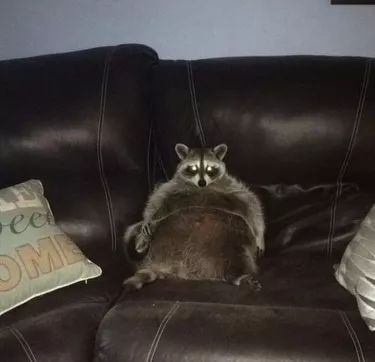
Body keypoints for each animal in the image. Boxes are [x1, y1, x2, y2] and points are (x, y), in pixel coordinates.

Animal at [122, 144, 264, 292]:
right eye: (193, 168)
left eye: (210, 169)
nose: (202, 182)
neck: (201, 187)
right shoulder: (172, 188)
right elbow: (157, 199)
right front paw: (146, 222)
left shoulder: (229, 188)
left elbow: (251, 202)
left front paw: (260, 236)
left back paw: (237, 276)